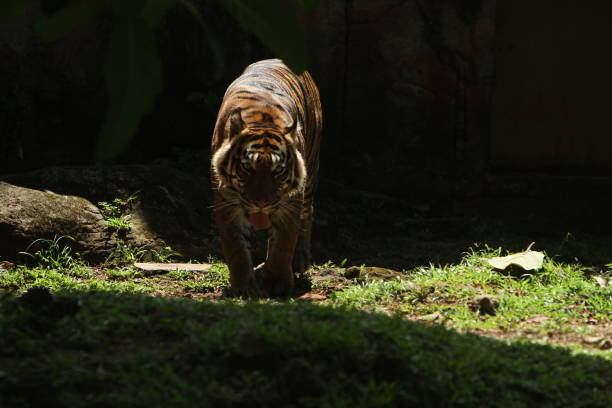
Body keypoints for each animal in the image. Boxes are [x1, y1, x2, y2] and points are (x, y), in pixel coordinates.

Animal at [210, 58, 322, 296]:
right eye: (247, 168)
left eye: (278, 171)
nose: (261, 203)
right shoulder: (225, 202)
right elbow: (235, 247)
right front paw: (244, 285)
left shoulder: (291, 201)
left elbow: (283, 243)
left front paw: (277, 281)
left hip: (310, 173)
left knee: (307, 215)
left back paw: (298, 261)